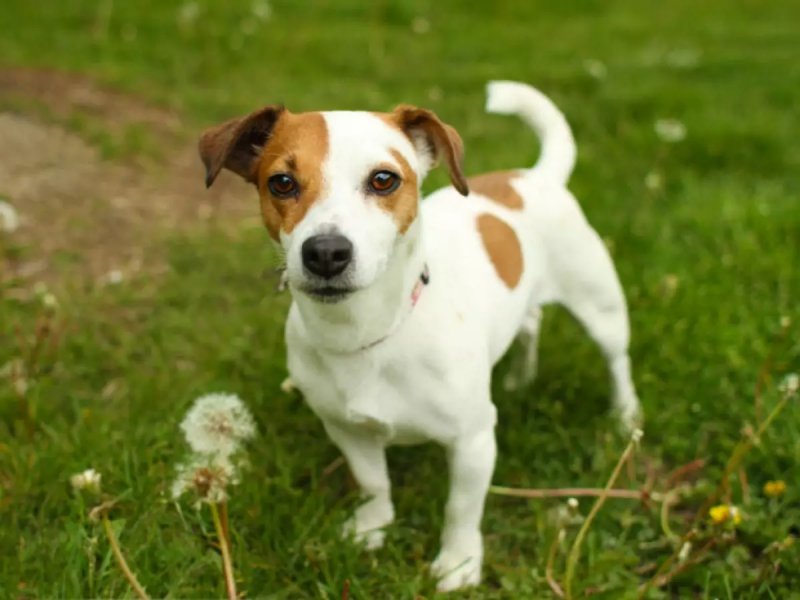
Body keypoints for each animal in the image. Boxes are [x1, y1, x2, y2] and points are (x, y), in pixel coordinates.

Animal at [200, 79, 644, 592]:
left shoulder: (473, 440)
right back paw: (520, 378)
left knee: (617, 360)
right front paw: (373, 528)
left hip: (600, 308)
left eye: (383, 179)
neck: (369, 332)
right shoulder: (346, 429)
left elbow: (461, 508)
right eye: (282, 183)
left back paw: (624, 415)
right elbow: (373, 482)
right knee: (530, 325)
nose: (326, 252)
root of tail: (535, 176)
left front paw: (459, 563)